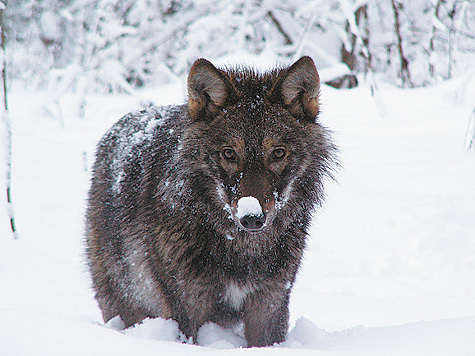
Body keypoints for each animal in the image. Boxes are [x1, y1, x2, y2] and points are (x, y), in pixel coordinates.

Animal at [85, 56, 338, 348]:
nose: (252, 217)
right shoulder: (186, 309)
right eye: (228, 153)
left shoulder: (270, 303)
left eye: (278, 153)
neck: (241, 250)